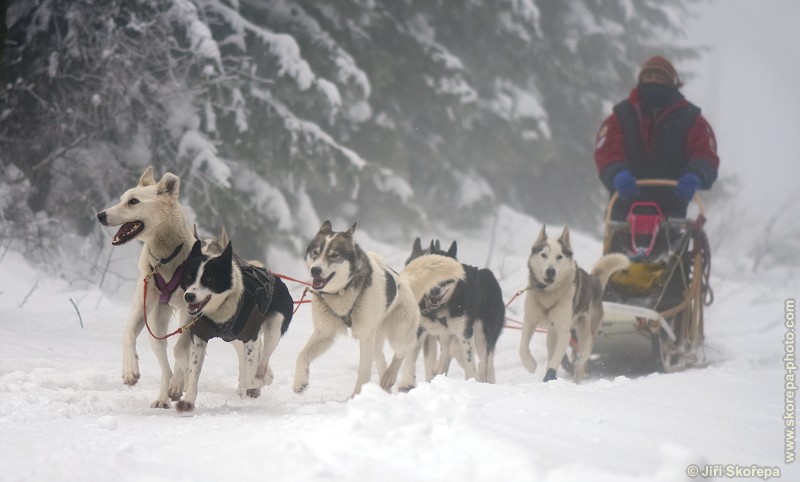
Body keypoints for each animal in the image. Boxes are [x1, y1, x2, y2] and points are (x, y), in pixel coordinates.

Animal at [178, 236, 294, 410]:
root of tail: (275, 277)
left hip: (273, 330)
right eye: (189, 277)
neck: (221, 311)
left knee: (263, 361)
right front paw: (188, 402)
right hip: (236, 339)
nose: (189, 296)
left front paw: (259, 381)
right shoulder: (200, 338)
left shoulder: (251, 338)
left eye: (210, 278)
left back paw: (261, 379)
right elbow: (193, 374)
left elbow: (250, 377)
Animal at [406, 239, 506, 382]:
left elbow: (470, 365)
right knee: (447, 355)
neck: (440, 309)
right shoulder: (422, 329)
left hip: (482, 335)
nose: (434, 290)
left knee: (485, 362)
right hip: (445, 336)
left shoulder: (465, 334)